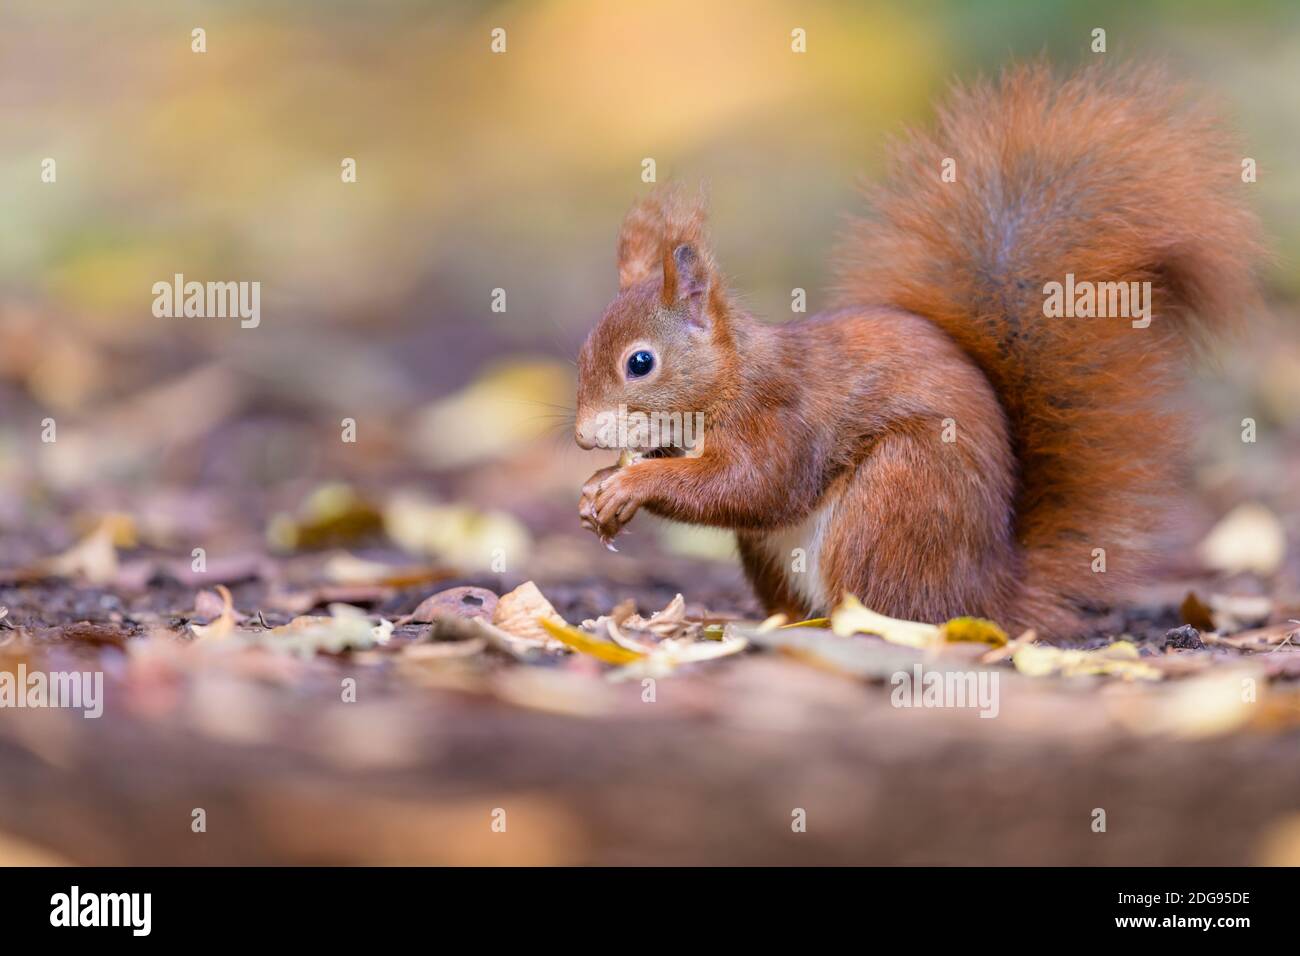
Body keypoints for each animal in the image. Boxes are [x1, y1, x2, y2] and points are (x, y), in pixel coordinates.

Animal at [573, 63, 1261, 637]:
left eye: (640, 363)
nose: (581, 436)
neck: (734, 374)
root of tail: (987, 597)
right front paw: (600, 485)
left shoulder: (781, 418)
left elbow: (752, 485)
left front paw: (630, 485)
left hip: (894, 499)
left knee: (885, 608)